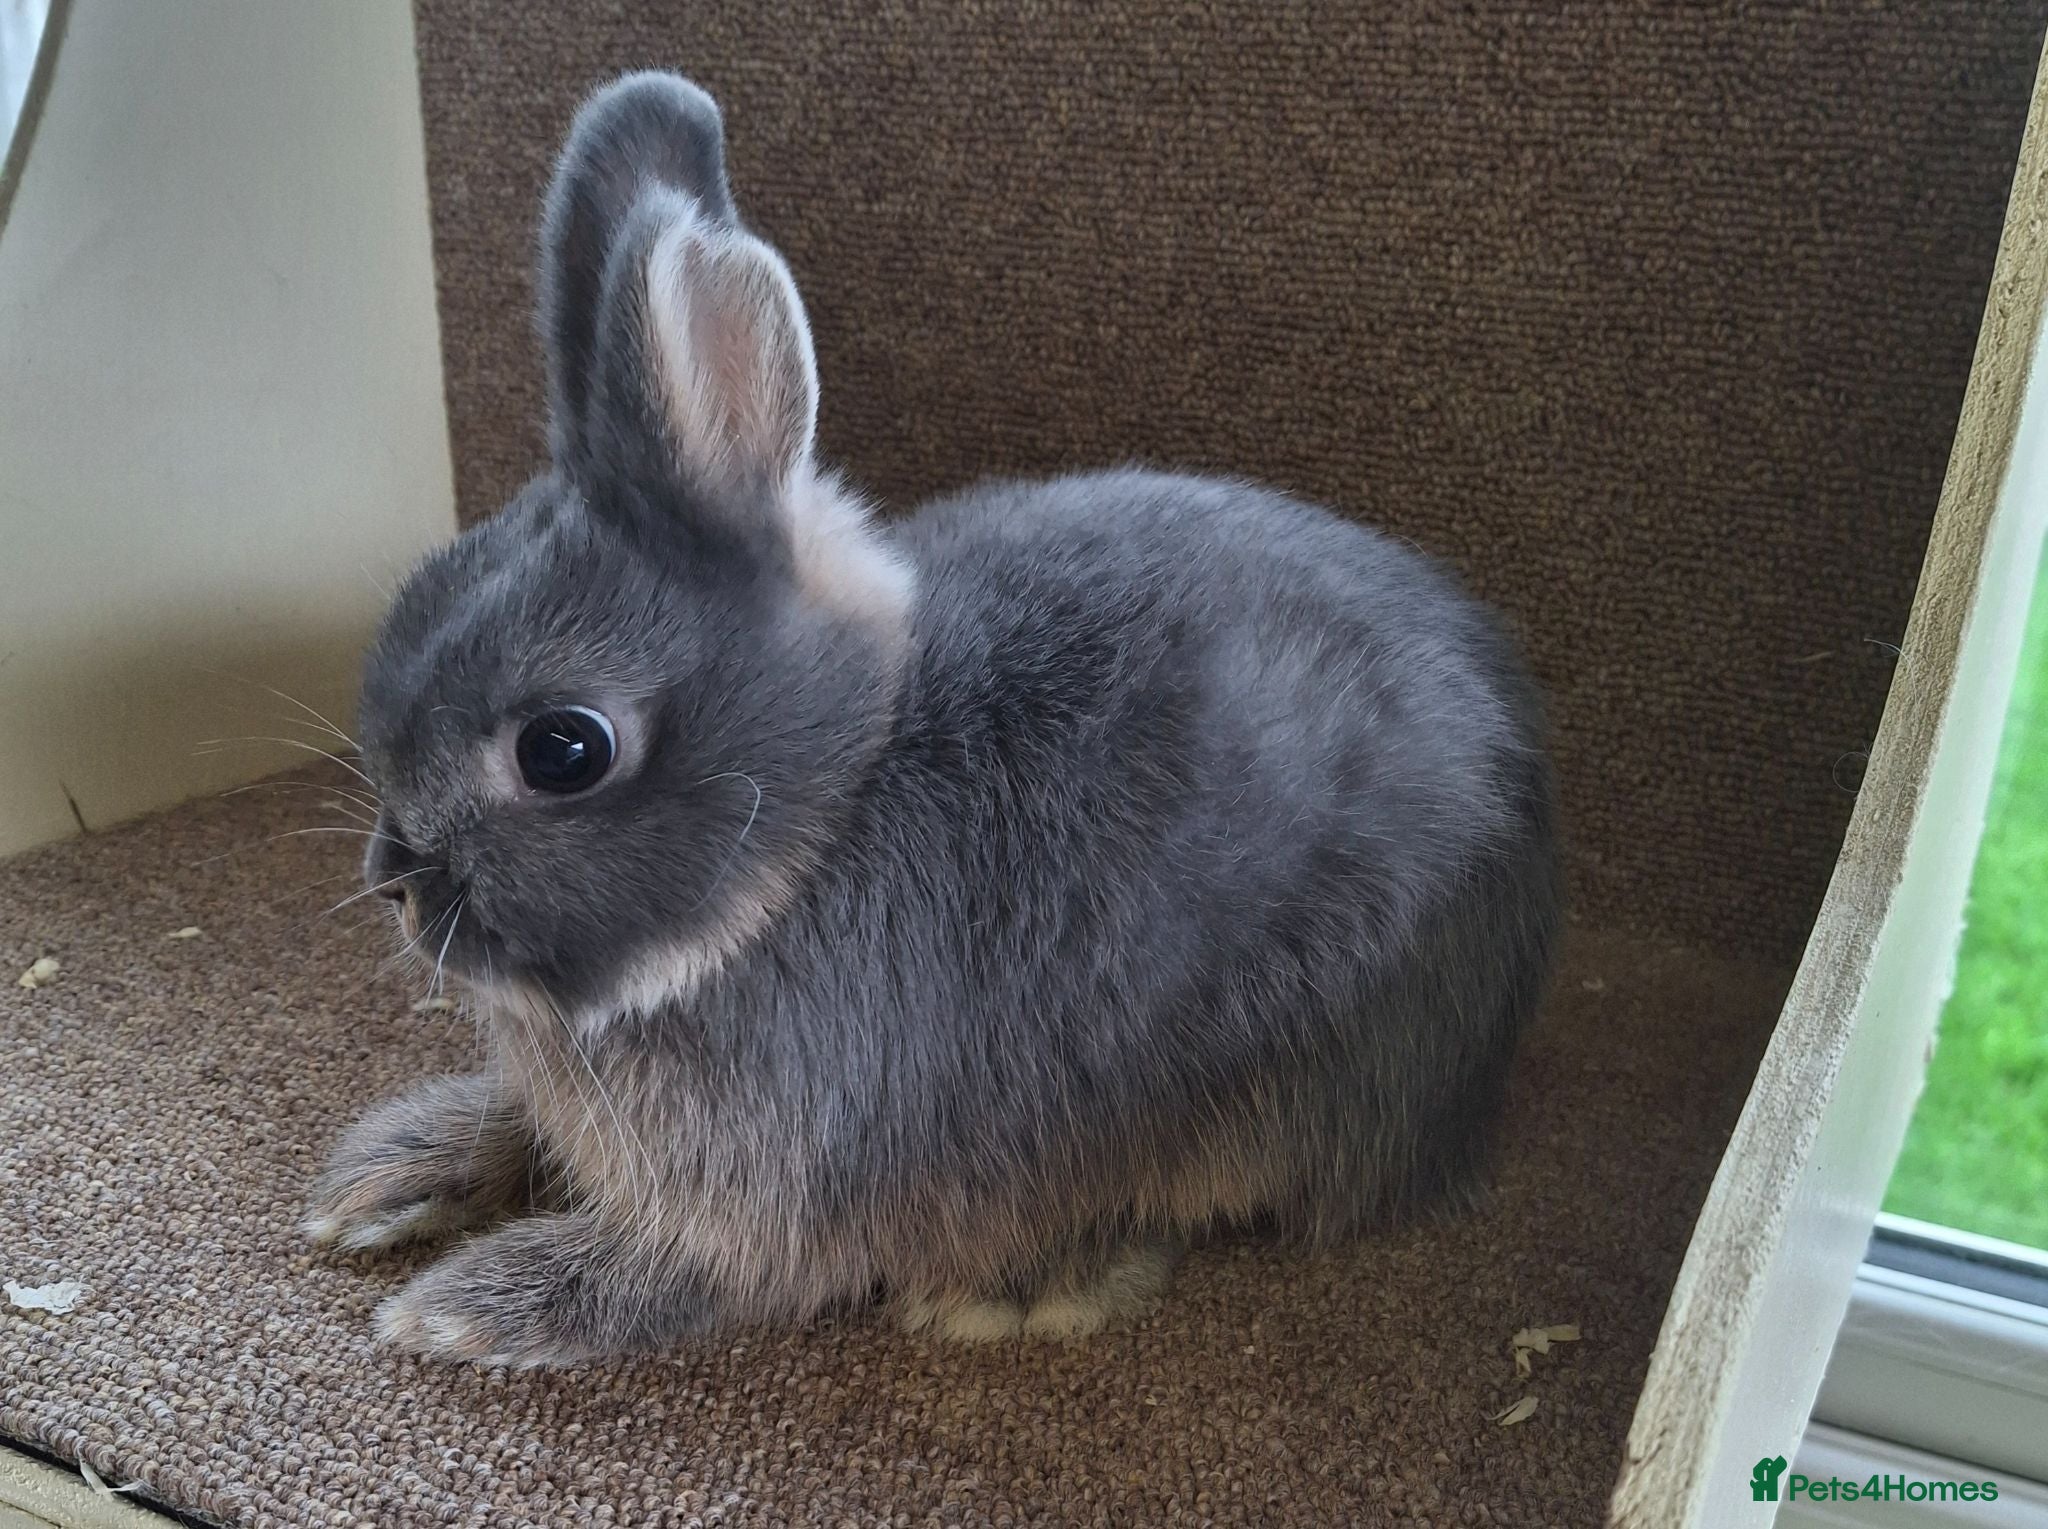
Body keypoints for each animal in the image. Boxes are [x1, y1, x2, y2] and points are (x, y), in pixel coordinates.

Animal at [301, 71, 1560, 1366]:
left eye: (562, 748)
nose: (394, 883)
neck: (815, 832)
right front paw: (392, 1175)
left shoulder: (773, 1196)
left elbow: (672, 1278)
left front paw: (463, 1305)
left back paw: (1025, 1279)